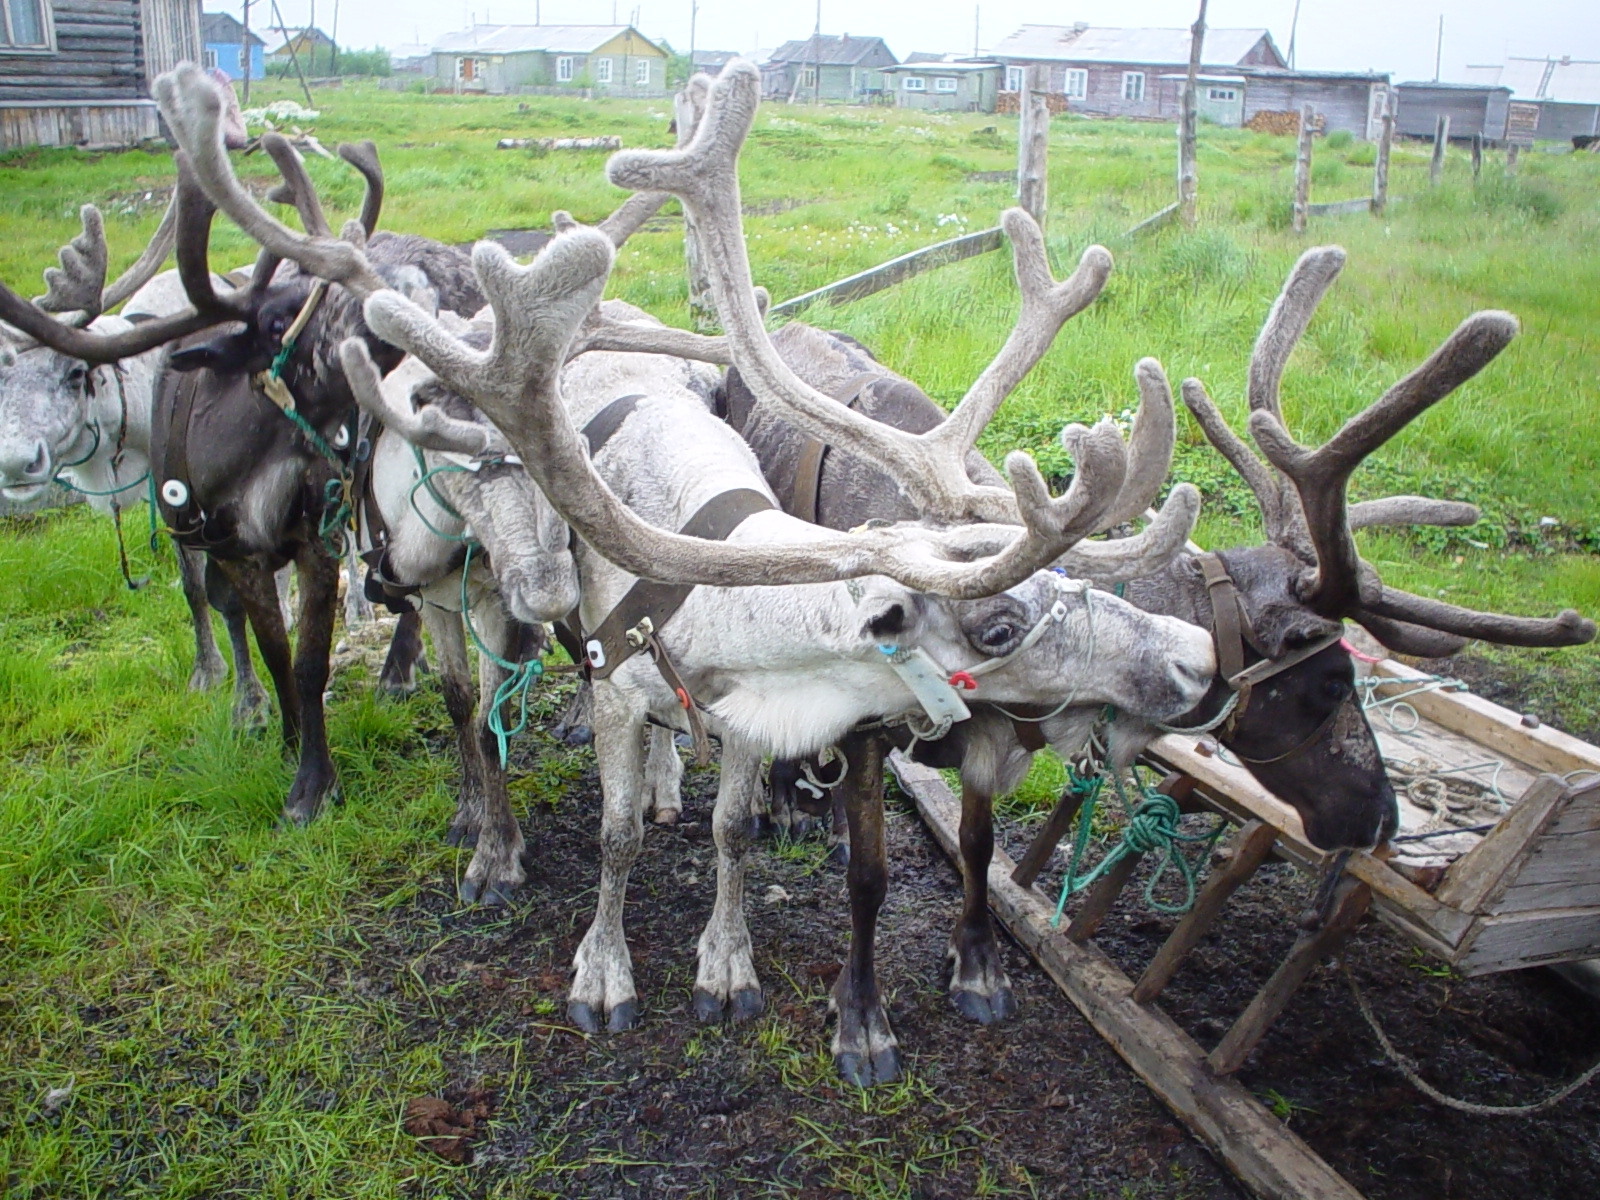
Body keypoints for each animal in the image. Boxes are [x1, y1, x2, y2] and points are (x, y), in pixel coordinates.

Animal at [155, 60, 1219, 1079]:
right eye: (999, 625)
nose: (1199, 658)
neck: (717, 604)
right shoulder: (618, 689)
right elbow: (614, 838)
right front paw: (603, 973)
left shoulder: (745, 713)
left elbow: (733, 834)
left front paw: (726, 963)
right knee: (478, 707)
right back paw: (489, 835)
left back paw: (664, 780)